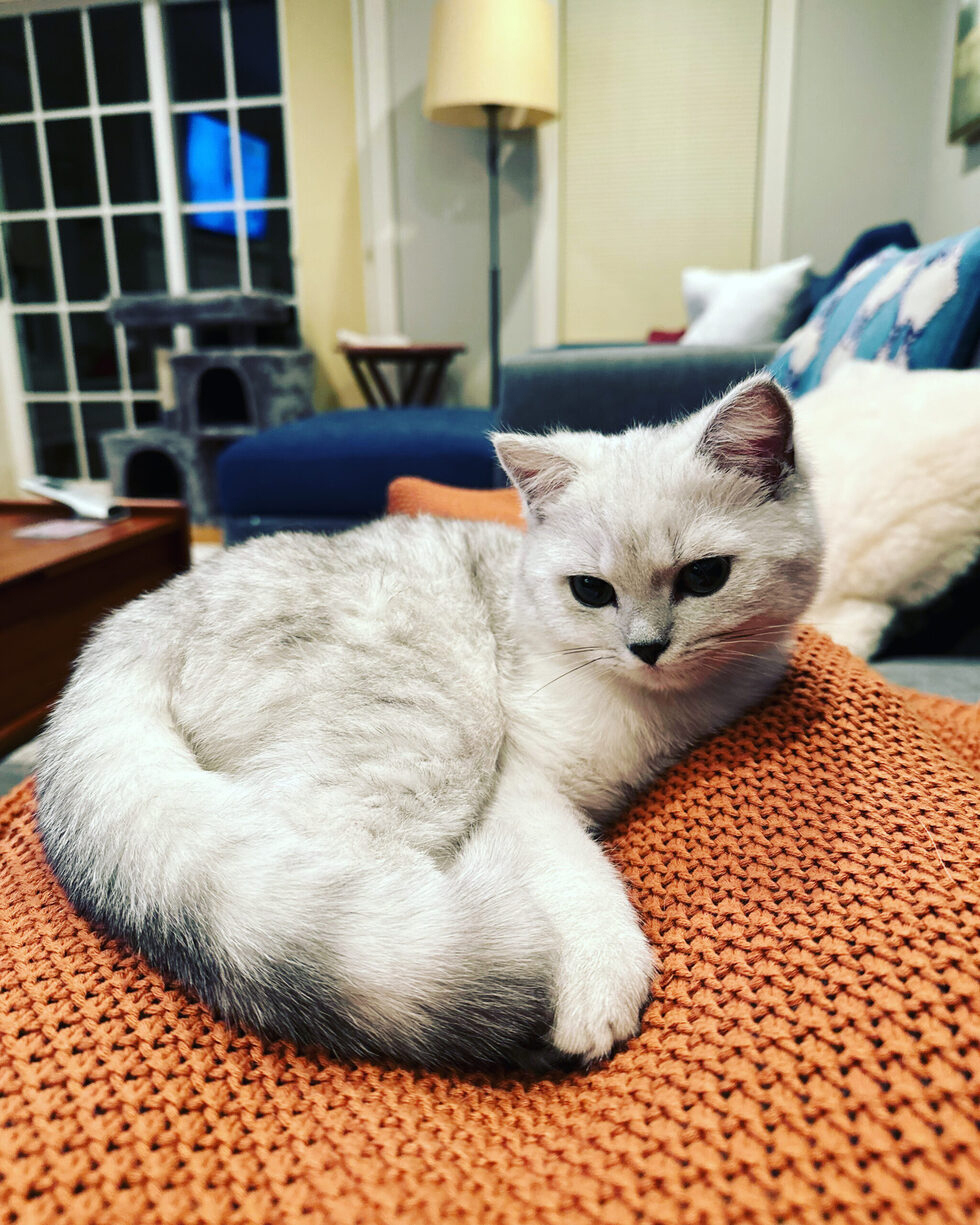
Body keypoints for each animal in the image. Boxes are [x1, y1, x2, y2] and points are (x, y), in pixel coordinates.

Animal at [35, 375, 821, 1072]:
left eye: (704, 577)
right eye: (591, 591)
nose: (648, 647)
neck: (660, 712)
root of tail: (149, 609)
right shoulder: (519, 779)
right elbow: (578, 874)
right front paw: (598, 979)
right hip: (436, 733)